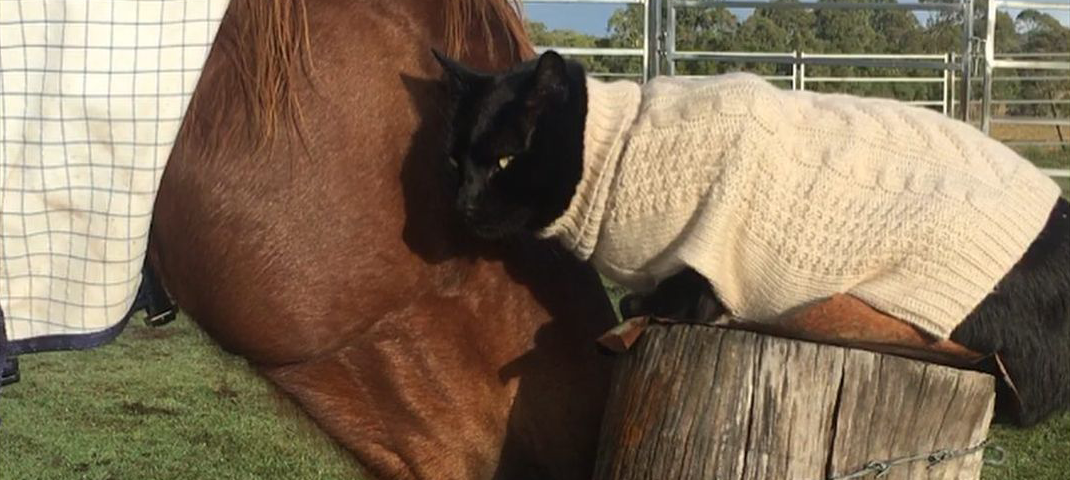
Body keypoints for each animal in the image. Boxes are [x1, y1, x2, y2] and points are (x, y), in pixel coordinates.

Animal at [430, 47, 1070, 423]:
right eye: (455, 162)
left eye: (507, 159)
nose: (463, 205)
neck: (615, 153)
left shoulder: (707, 262)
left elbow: (673, 299)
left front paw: (644, 304)